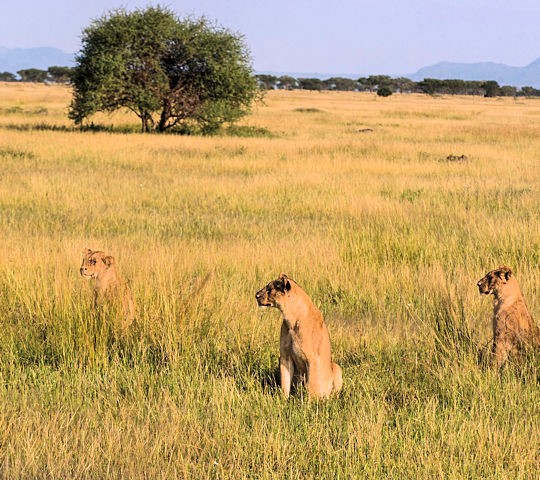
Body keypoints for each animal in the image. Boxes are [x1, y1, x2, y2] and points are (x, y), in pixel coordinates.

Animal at [256, 272, 342, 400]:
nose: (256, 295)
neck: (291, 318)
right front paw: (283, 400)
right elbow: (285, 382)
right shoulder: (285, 356)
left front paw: (310, 403)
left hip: (336, 367)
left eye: (269, 289)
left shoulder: (312, 359)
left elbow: (312, 385)